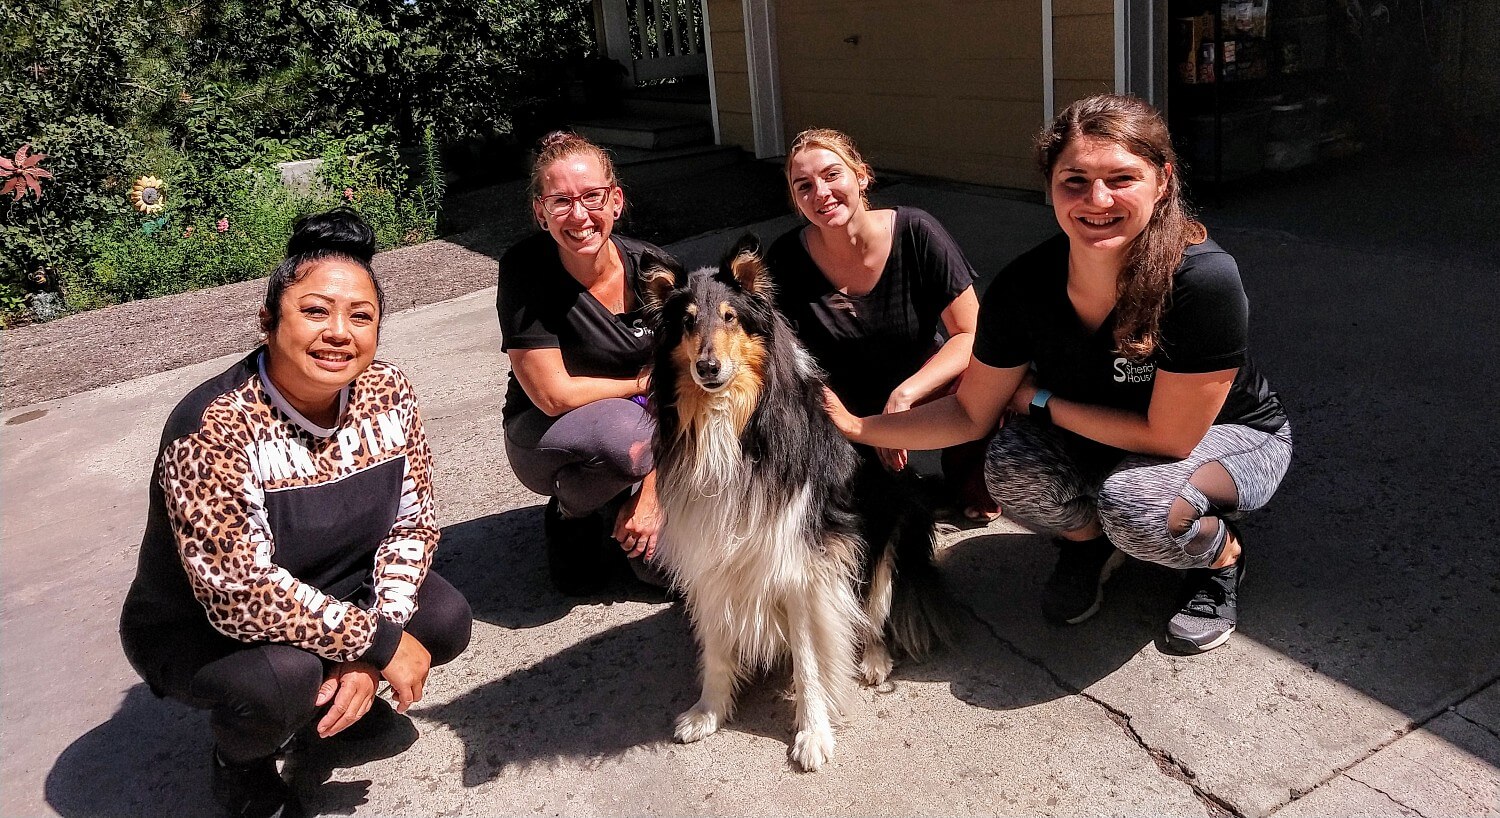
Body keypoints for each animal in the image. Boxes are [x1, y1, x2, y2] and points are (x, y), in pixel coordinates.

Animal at [642, 232, 948, 768]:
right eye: (687, 322)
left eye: (730, 317)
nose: (707, 367)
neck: (733, 424)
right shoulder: (709, 547)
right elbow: (716, 646)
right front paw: (708, 712)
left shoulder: (801, 561)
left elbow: (809, 659)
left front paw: (813, 734)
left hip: (889, 533)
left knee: (874, 612)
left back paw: (872, 660)